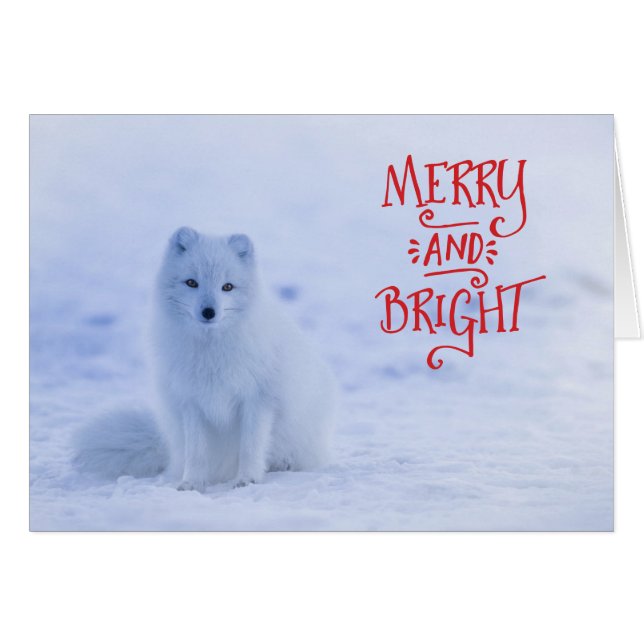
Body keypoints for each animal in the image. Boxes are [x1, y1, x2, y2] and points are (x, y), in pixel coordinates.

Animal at [73, 227, 337, 490]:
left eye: (227, 287)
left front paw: (247, 479)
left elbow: (250, 447)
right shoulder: (191, 402)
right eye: (192, 282)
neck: (211, 352)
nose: (209, 312)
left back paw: (283, 464)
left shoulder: (258, 399)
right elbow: (197, 452)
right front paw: (191, 483)